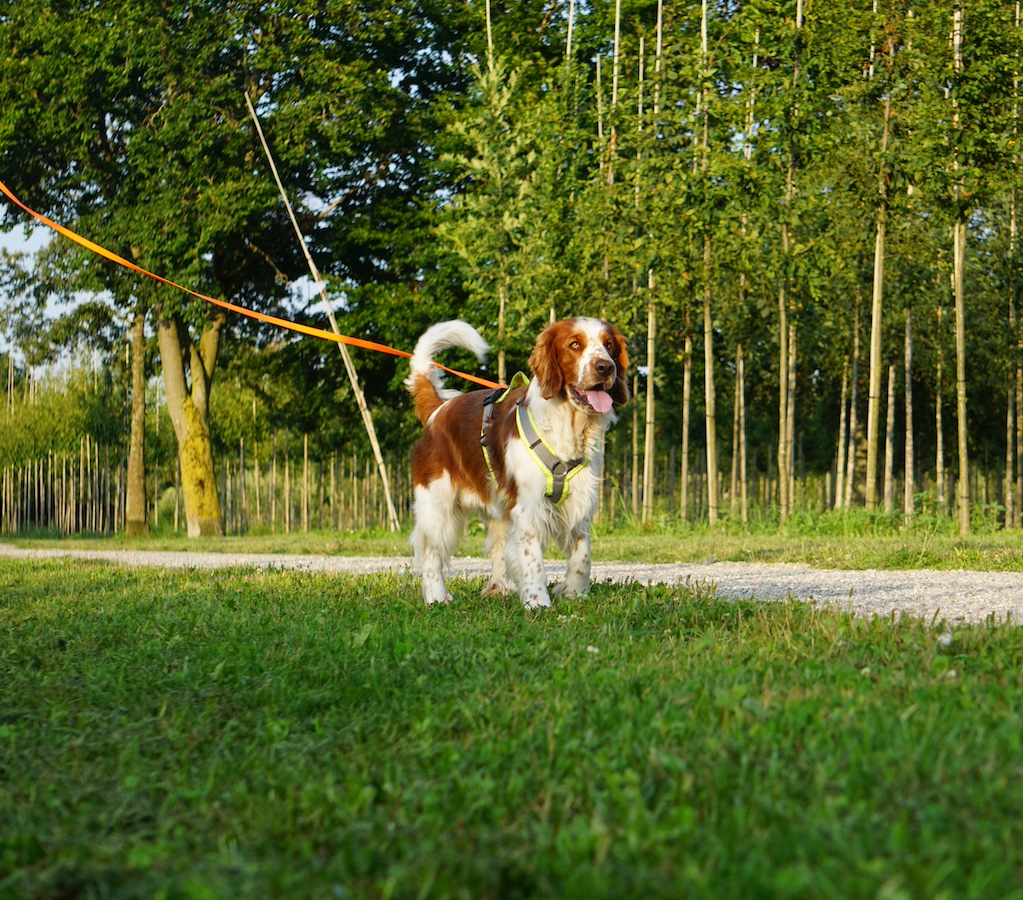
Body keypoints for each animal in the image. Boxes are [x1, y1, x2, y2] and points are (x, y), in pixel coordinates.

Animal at [403, 319, 626, 609]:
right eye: (575, 344)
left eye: (609, 346)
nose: (605, 367)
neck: (567, 426)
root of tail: (438, 411)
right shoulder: (527, 506)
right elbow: (533, 559)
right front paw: (537, 601)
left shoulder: (580, 504)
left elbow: (583, 555)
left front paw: (575, 593)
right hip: (438, 504)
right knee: (431, 551)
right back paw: (437, 596)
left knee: (498, 547)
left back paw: (499, 588)